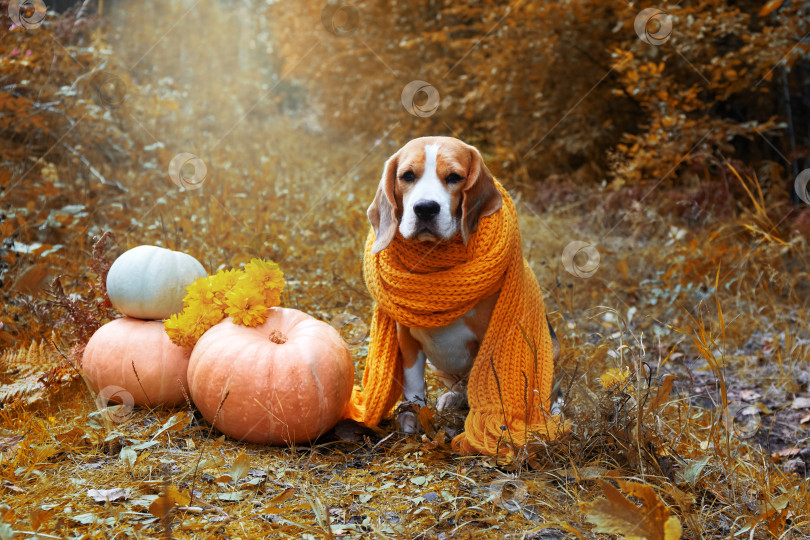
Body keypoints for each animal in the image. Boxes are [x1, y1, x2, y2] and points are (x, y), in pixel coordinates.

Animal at [364, 137, 556, 432]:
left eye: (454, 177)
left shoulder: (488, 342)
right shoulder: (406, 338)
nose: (425, 208)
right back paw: (452, 398)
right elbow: (413, 384)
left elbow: (484, 387)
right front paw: (411, 419)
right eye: (407, 176)